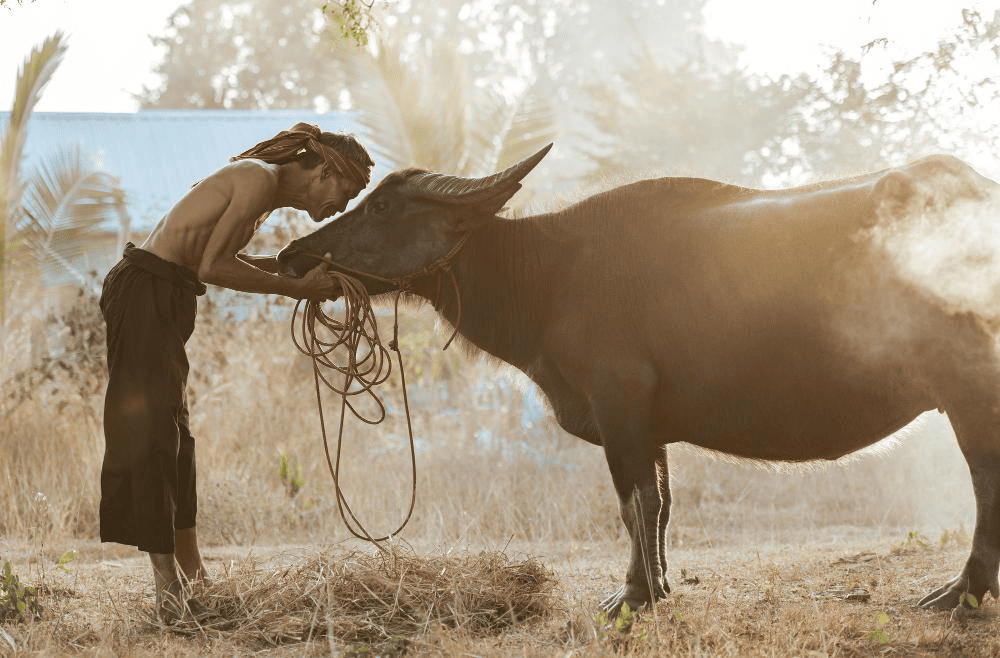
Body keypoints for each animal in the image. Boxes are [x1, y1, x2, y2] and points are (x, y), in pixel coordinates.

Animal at [277, 144, 1000, 615]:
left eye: (382, 207)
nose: (293, 254)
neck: (548, 276)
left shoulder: (618, 406)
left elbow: (632, 505)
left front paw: (632, 595)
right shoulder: (649, 428)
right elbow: (661, 505)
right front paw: (659, 585)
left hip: (971, 392)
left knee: (985, 481)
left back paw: (963, 591)